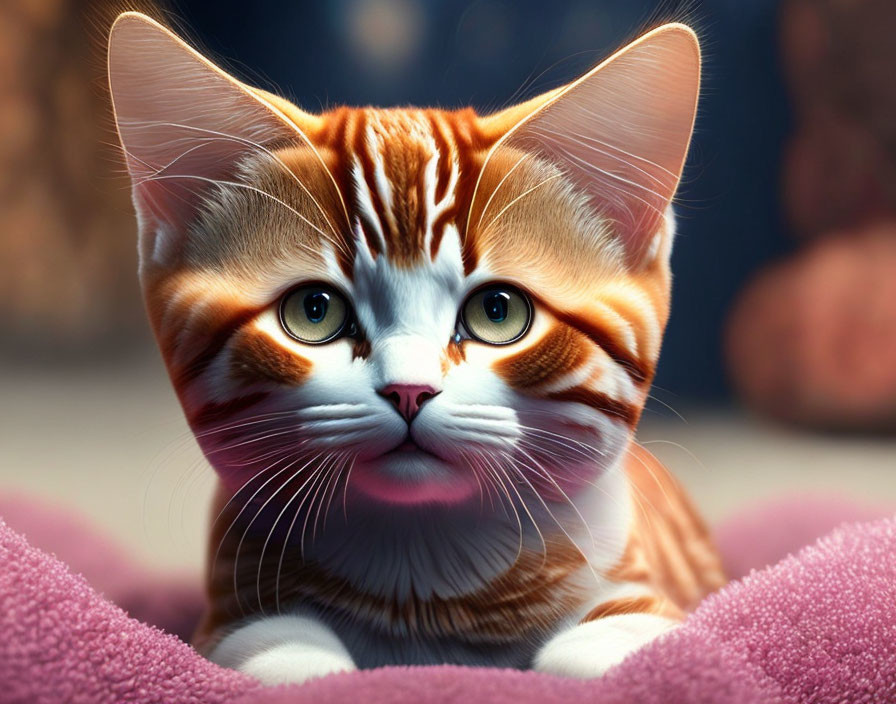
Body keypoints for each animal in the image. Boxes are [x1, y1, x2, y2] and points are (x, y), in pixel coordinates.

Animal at [110, 9, 728, 680]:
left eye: (497, 312)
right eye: (313, 311)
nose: (409, 390)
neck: (425, 585)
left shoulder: (645, 593)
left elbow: (616, 650)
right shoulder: (227, 611)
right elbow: (281, 654)